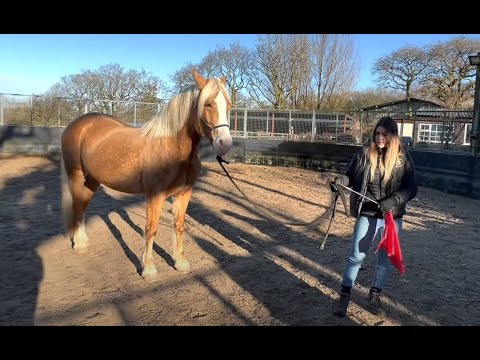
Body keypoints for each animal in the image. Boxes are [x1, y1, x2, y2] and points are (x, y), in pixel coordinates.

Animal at [60, 69, 232, 280]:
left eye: (229, 105)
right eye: (208, 104)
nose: (225, 143)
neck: (172, 148)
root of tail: (76, 124)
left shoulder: (184, 193)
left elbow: (179, 225)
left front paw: (180, 262)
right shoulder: (154, 195)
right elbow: (151, 230)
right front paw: (148, 269)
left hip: (93, 179)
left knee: (83, 205)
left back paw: (83, 239)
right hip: (76, 174)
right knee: (77, 205)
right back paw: (79, 244)